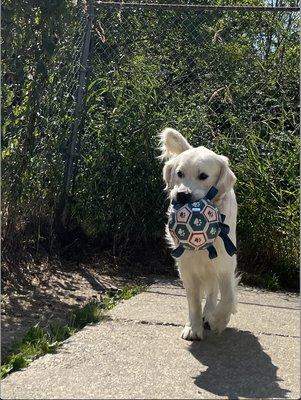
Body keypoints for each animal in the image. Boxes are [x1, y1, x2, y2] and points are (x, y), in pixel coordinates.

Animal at [158, 128, 238, 340]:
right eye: (179, 173)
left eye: (203, 175)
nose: (182, 194)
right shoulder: (186, 264)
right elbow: (193, 300)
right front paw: (193, 328)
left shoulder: (225, 262)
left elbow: (227, 297)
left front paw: (218, 320)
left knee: (213, 291)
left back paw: (210, 314)